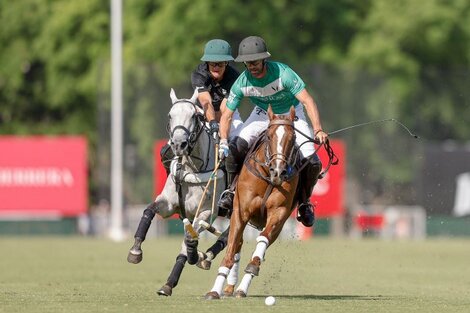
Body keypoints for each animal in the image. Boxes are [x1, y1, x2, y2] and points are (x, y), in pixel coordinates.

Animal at [207, 105, 302, 298]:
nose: (278, 172)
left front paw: (250, 270)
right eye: (269, 136)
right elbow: (231, 249)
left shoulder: (279, 213)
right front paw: (214, 290)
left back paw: (241, 288)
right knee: (237, 244)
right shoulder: (240, 211)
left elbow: (262, 241)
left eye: (293, 137)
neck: (267, 176)